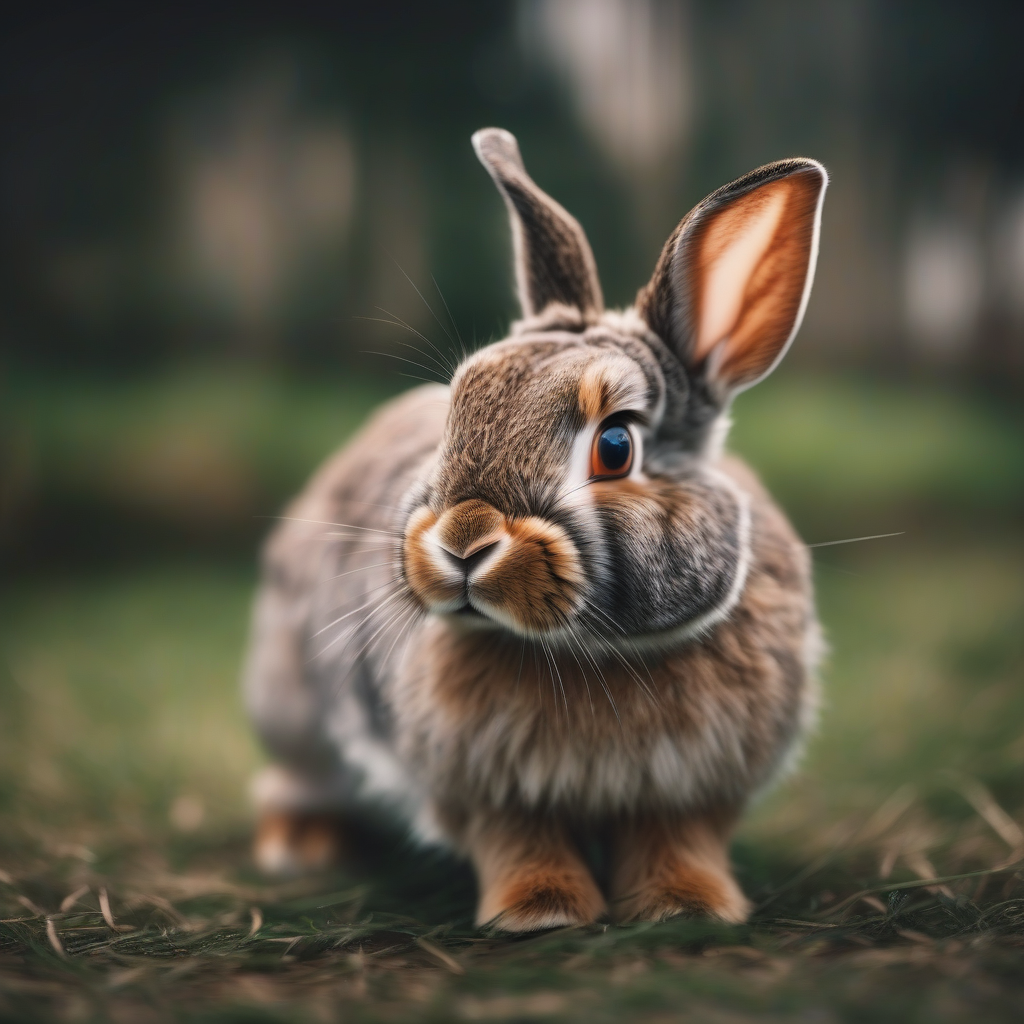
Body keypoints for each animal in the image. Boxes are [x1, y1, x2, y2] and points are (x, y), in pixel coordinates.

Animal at [244, 127, 828, 931]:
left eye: (615, 446)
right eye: (454, 415)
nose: (463, 543)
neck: (593, 654)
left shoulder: (693, 788)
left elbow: (678, 840)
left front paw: (688, 906)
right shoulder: (485, 789)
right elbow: (521, 842)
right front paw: (541, 911)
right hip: (293, 705)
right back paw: (301, 845)